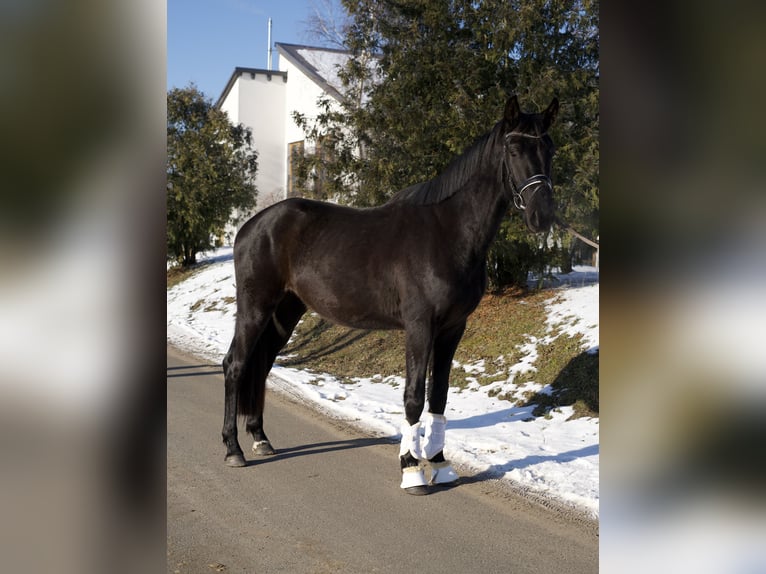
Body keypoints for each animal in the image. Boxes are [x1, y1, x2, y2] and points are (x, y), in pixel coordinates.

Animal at [220, 94, 560, 496]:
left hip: (286, 311)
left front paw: (440, 464)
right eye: (514, 148)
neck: (448, 232)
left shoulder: (453, 328)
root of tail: (253, 225)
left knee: (262, 364)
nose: (543, 215)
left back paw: (260, 438)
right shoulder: (419, 326)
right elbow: (413, 396)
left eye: (549, 148)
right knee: (235, 365)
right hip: (255, 306)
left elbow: (439, 394)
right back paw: (233, 449)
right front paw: (412, 469)